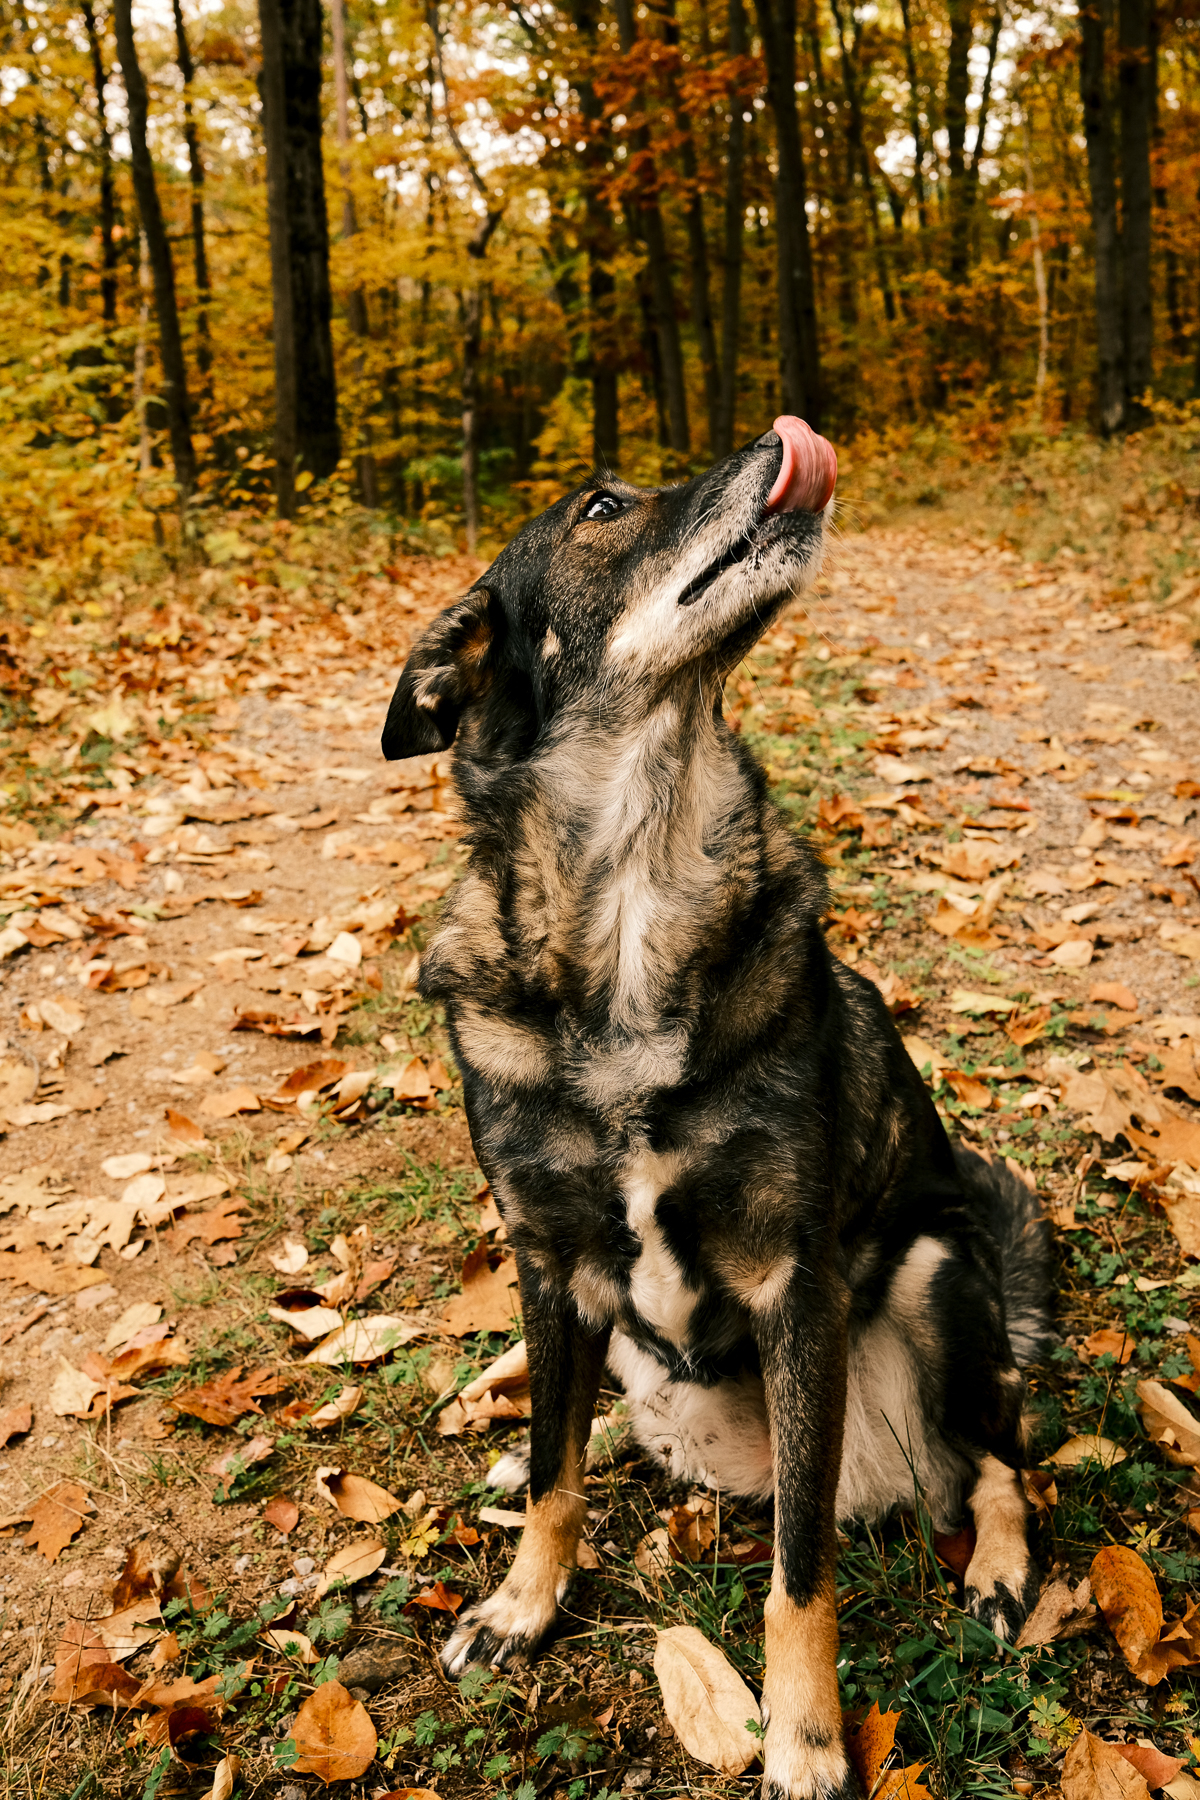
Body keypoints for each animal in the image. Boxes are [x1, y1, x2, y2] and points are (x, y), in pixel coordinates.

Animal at [385, 414, 1050, 1792]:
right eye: (600, 507)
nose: (784, 436)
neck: (637, 882)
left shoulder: (795, 1287)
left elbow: (800, 1572)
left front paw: (804, 1736)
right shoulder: (547, 1259)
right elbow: (554, 1472)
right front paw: (523, 1603)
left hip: (936, 1275)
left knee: (1002, 1457)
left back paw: (1003, 1569)